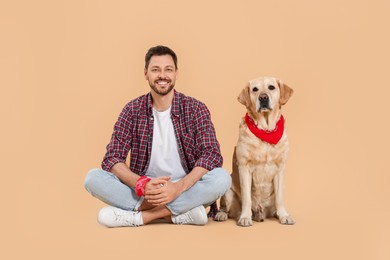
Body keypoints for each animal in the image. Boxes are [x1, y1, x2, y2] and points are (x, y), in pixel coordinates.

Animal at [215, 76, 294, 226]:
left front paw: (284, 216)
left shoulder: (280, 168)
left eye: (271, 87)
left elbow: (280, 198)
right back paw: (222, 215)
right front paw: (245, 217)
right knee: (225, 208)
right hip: (228, 192)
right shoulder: (245, 167)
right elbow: (247, 198)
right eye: (255, 89)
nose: (263, 98)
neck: (266, 131)